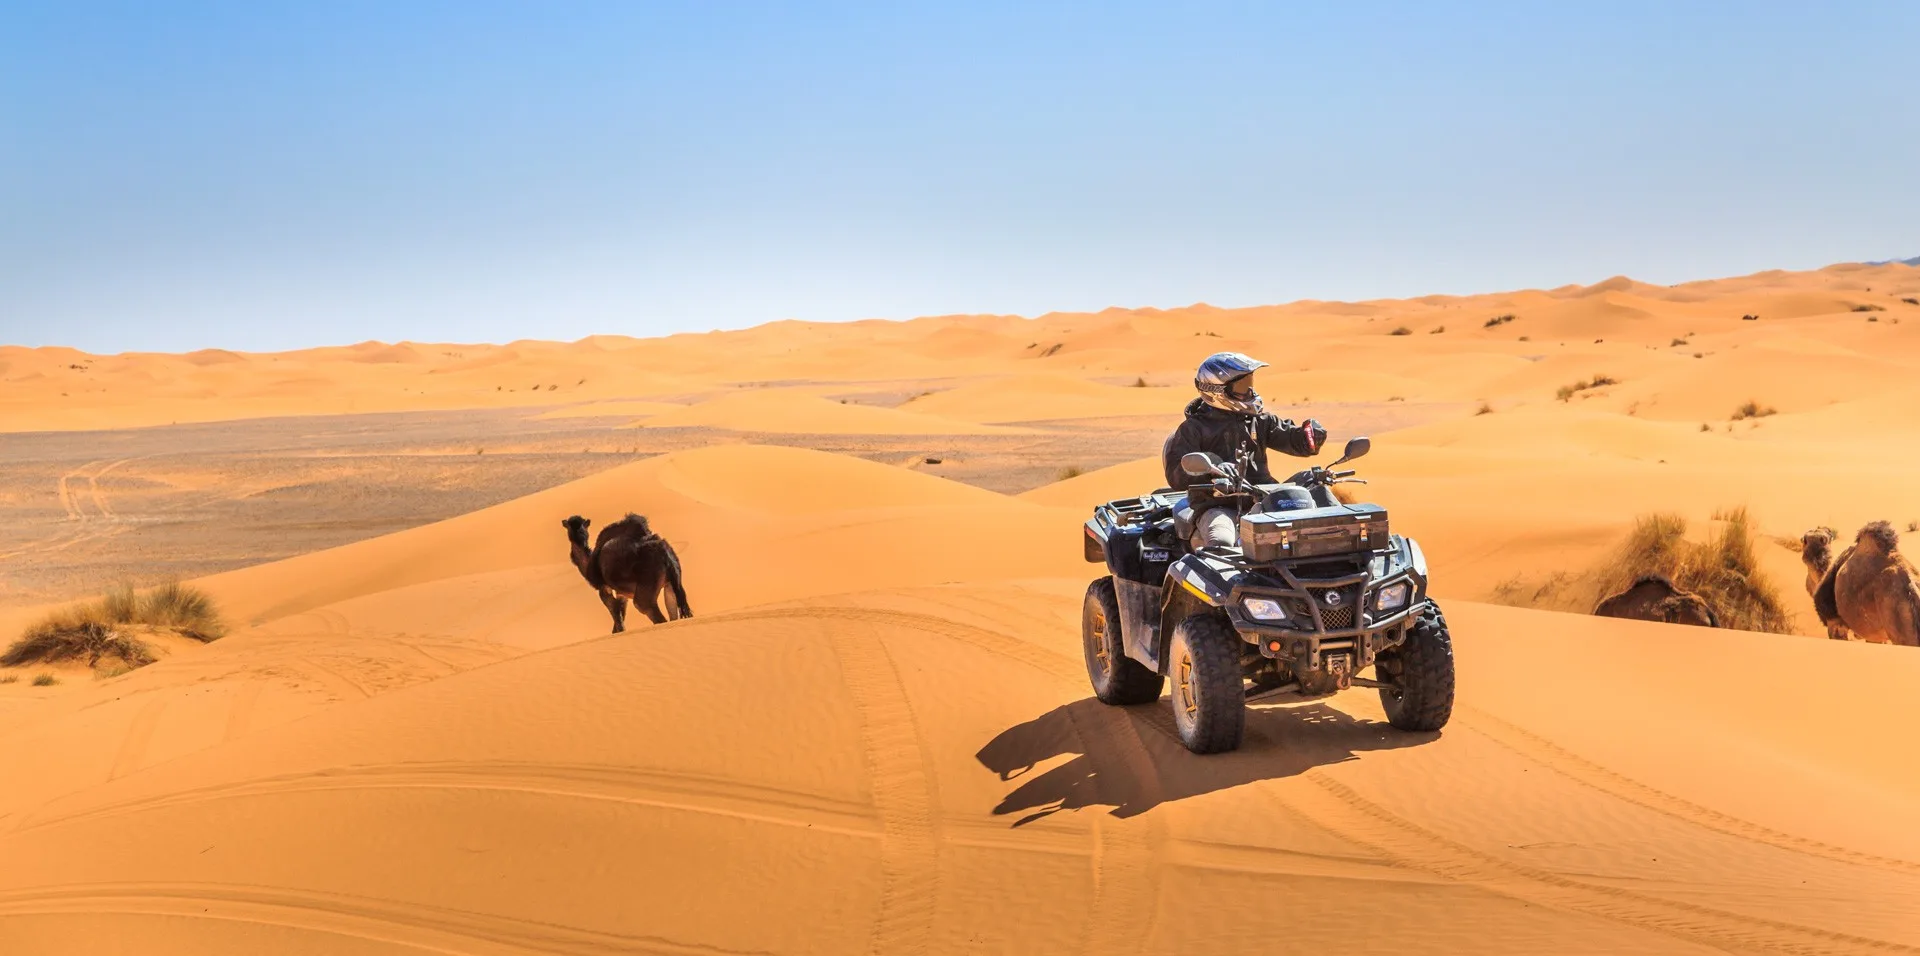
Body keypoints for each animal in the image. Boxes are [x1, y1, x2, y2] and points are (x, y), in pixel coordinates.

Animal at [560, 510, 691, 629]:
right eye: (571, 526)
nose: (577, 535)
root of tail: (664, 552)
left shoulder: (603, 588)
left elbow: (616, 618)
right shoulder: (621, 593)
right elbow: (620, 615)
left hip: (646, 588)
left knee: (647, 608)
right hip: (671, 584)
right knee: (673, 609)